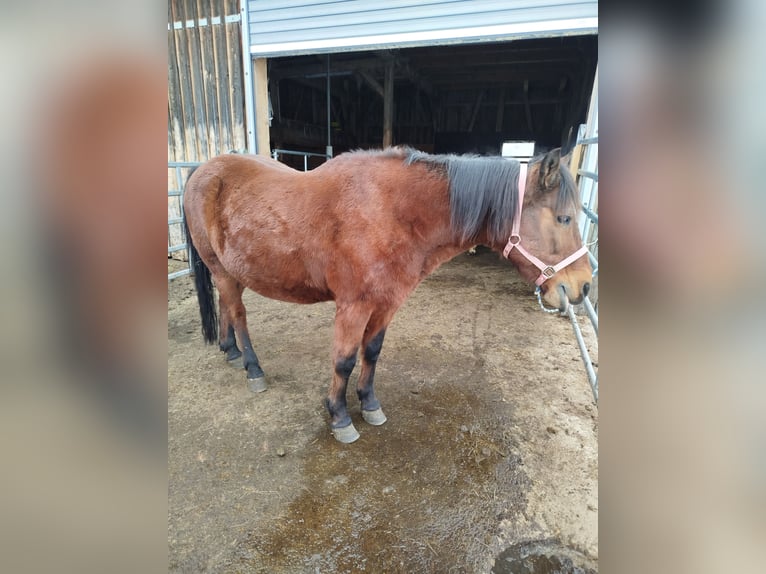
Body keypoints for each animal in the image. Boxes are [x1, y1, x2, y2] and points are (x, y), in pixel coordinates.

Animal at [183, 146, 592, 443]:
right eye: (564, 218)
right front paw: (339, 416)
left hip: (230, 271)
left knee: (226, 306)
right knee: (238, 313)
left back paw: (230, 351)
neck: (390, 212)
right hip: (222, 270)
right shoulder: (352, 306)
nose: (583, 286)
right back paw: (252, 368)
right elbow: (344, 360)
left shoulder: (387, 302)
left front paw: (369, 404)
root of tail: (202, 169)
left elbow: (372, 352)